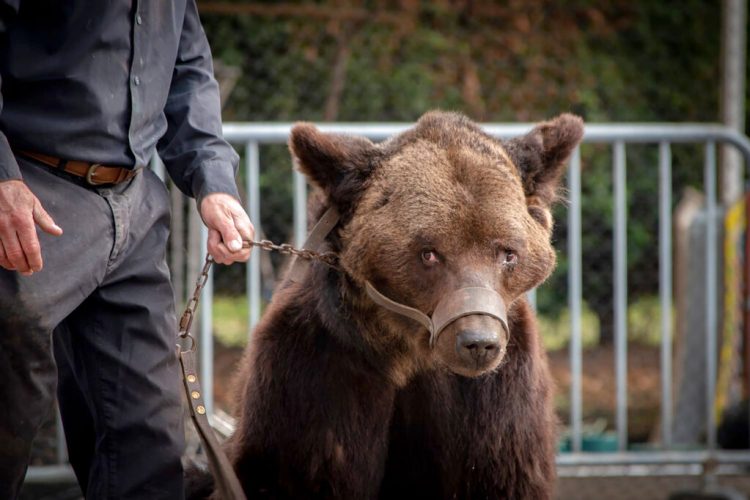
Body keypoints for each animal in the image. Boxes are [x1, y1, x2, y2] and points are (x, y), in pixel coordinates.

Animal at [191, 110, 584, 500]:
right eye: (429, 253)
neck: (408, 352)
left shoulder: (496, 396)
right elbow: (300, 469)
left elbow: (499, 472)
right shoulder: (320, 370)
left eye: (508, 253)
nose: (478, 342)